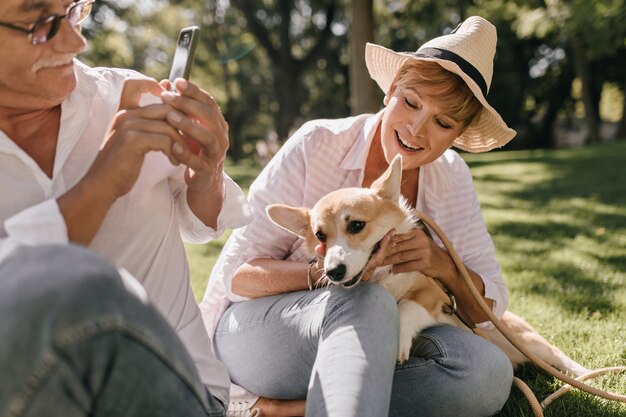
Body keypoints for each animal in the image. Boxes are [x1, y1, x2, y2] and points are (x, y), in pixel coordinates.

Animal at [266, 154, 588, 376]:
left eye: (356, 225)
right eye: (321, 236)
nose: (334, 272)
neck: (384, 277)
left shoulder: (433, 295)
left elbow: (406, 307)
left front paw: (399, 341)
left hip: (529, 341)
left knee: (558, 358)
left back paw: (586, 375)